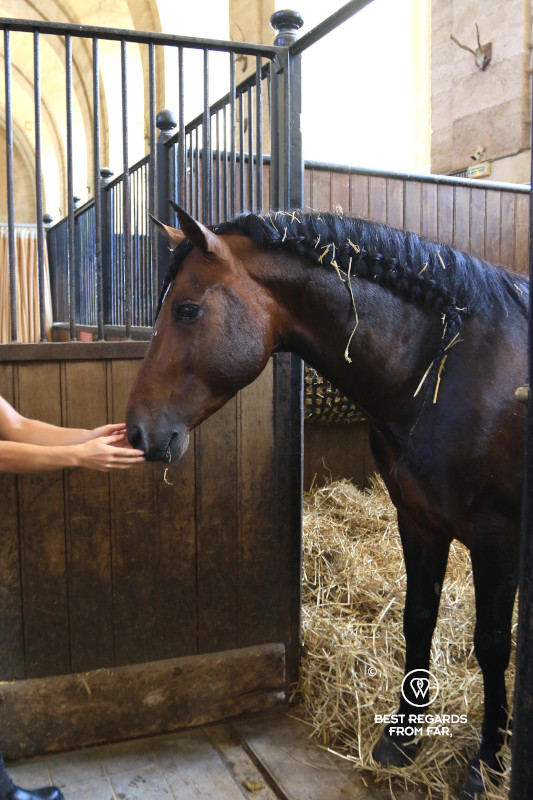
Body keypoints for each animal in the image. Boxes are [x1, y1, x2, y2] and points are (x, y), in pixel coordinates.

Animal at [126, 203, 528, 800]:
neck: (447, 367)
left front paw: (488, 763)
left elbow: (494, 645)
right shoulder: (419, 522)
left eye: (187, 310)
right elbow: (418, 620)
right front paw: (403, 739)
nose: (136, 432)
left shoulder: (497, 539)